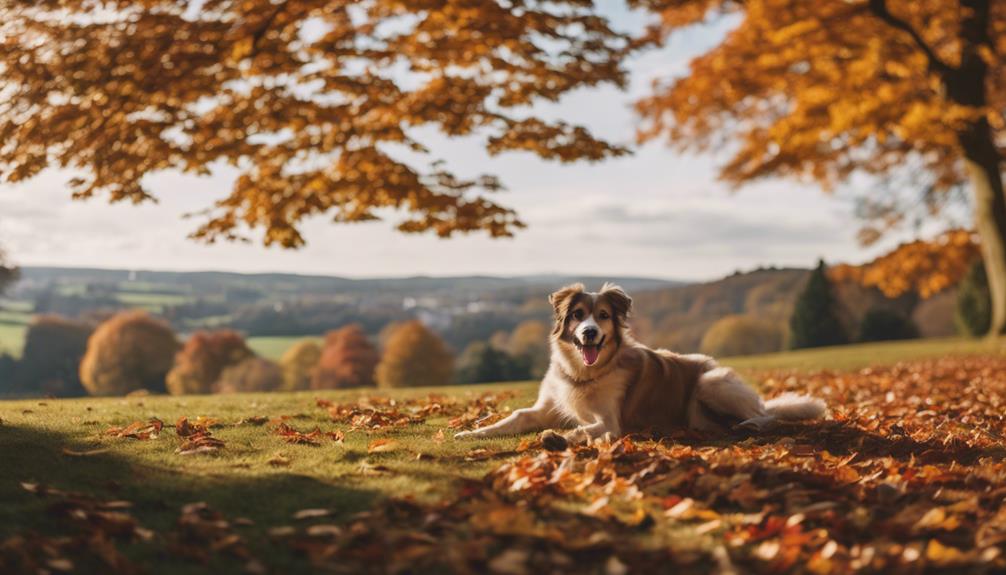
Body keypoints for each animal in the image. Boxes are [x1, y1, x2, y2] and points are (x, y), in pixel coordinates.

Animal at [456, 283, 824, 444]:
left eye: (604, 316)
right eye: (577, 315)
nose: (589, 333)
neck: (584, 373)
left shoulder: (611, 422)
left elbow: (587, 429)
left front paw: (558, 438)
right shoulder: (547, 407)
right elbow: (515, 418)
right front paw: (474, 432)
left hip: (712, 382)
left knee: (768, 416)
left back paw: (751, 425)